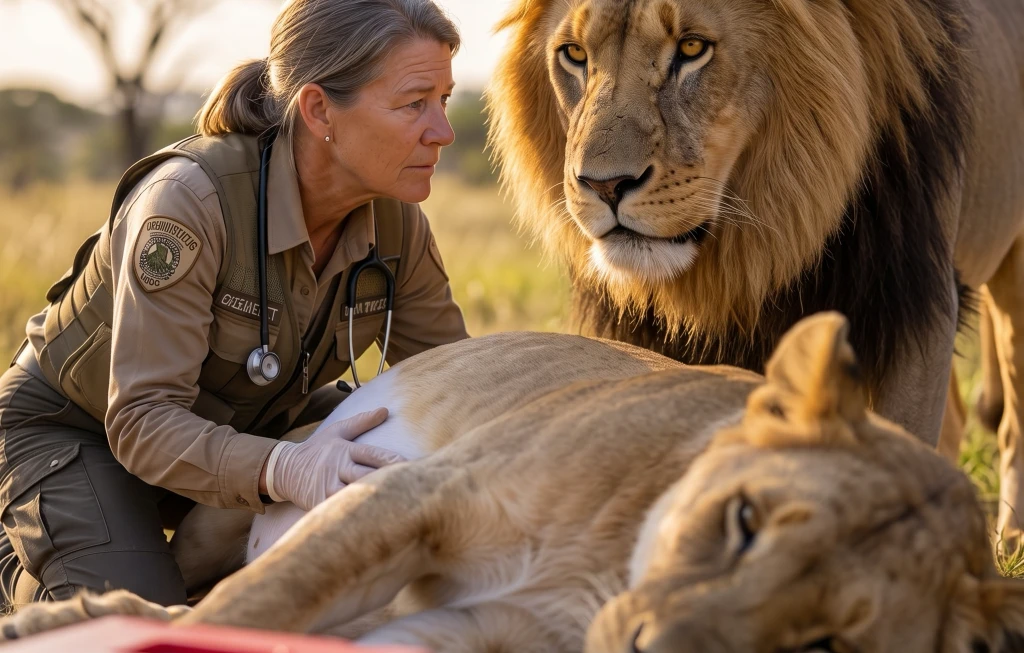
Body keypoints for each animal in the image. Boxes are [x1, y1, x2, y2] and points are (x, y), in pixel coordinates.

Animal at [3, 314, 1023, 652]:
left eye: (826, 646)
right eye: (744, 520)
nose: (645, 648)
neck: (606, 576)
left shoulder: (458, 631)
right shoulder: (415, 494)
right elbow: (247, 607)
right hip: (229, 496)